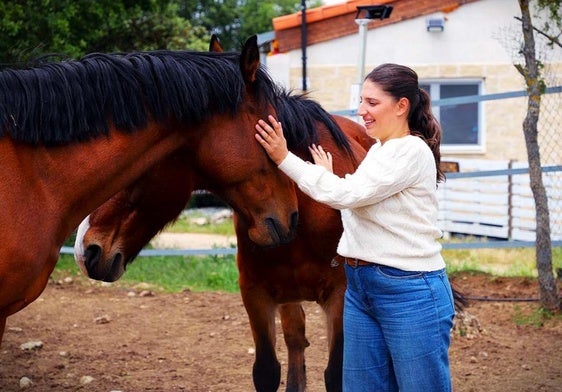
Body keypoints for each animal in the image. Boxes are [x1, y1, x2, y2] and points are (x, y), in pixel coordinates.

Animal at [74, 87, 372, 390]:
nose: (85, 251)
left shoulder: (340, 298)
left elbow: (337, 374)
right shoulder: (255, 294)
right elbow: (266, 370)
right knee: (295, 337)